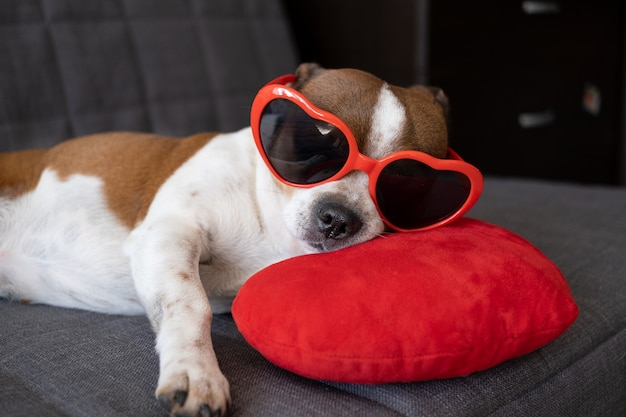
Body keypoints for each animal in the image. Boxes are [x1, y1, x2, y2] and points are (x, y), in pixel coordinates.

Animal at [0, 63, 448, 414]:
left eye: (406, 180)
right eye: (316, 142)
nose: (339, 217)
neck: (267, 221)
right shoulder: (169, 232)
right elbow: (190, 304)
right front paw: (195, 371)